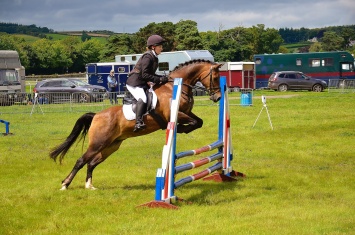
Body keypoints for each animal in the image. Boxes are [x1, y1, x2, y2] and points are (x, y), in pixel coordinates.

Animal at [50, 59, 222, 190]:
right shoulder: (175, 114)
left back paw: (89, 186)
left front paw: (182, 129)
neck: (174, 87)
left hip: (111, 146)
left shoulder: (186, 112)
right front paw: (180, 129)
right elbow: (192, 122)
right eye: (215, 77)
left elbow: (199, 121)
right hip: (98, 143)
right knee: (81, 160)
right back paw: (65, 184)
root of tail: (96, 116)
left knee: (91, 163)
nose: (218, 97)